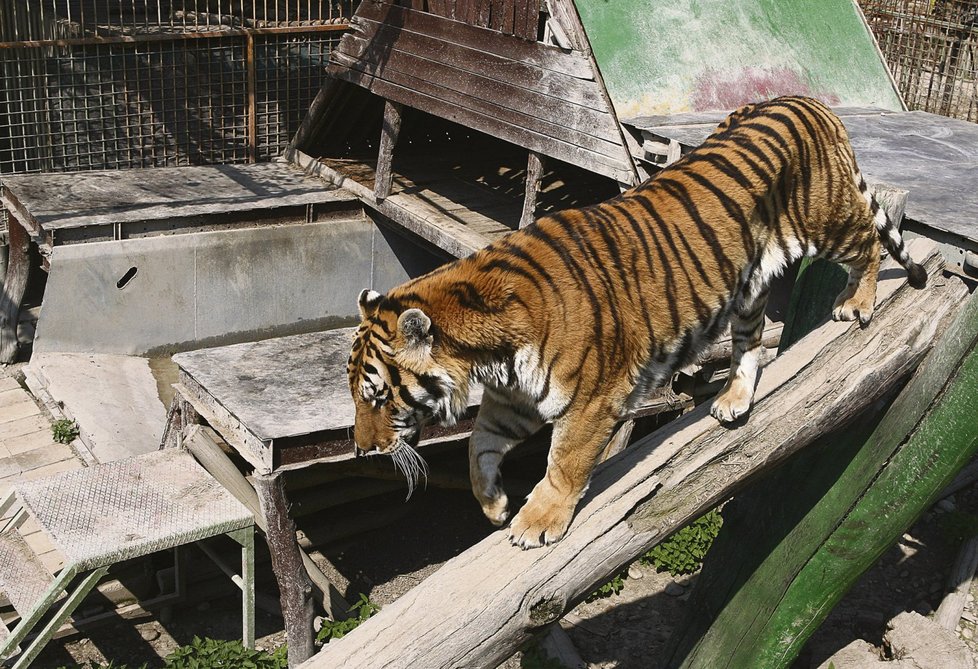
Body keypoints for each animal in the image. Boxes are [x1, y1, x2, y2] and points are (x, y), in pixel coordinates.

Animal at [346, 96, 928, 552]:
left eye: (379, 396)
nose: (363, 449)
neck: (489, 358)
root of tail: (806, 100)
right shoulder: (515, 400)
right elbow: (476, 447)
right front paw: (493, 504)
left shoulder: (591, 399)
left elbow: (563, 463)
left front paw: (536, 522)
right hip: (746, 290)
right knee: (752, 346)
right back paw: (733, 400)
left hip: (826, 220)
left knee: (870, 243)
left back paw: (858, 302)